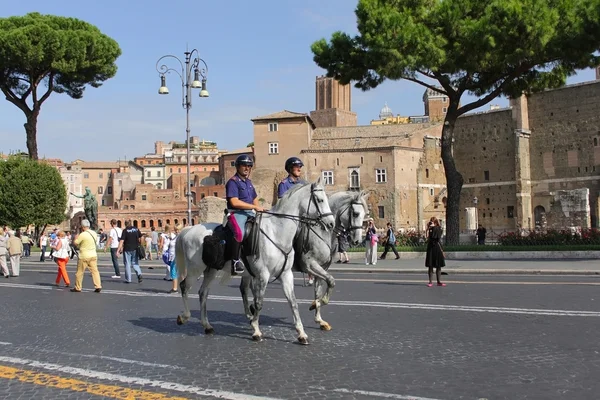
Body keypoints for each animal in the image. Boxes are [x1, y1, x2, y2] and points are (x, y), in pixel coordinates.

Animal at [173, 178, 336, 344]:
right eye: (320, 200)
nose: (331, 223)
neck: (277, 232)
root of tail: (188, 229)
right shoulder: (264, 274)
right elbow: (259, 302)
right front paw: (256, 330)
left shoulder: (286, 274)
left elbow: (293, 302)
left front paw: (302, 332)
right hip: (195, 269)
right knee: (184, 286)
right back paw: (184, 317)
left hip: (211, 269)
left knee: (203, 293)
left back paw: (207, 325)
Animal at [241, 191, 368, 332]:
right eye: (355, 213)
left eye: (365, 214)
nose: (357, 241)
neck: (322, 233)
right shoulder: (310, 265)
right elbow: (331, 281)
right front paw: (315, 304)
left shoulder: (322, 269)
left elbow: (318, 291)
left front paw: (319, 319)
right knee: (245, 288)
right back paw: (250, 314)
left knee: (247, 287)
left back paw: (252, 311)